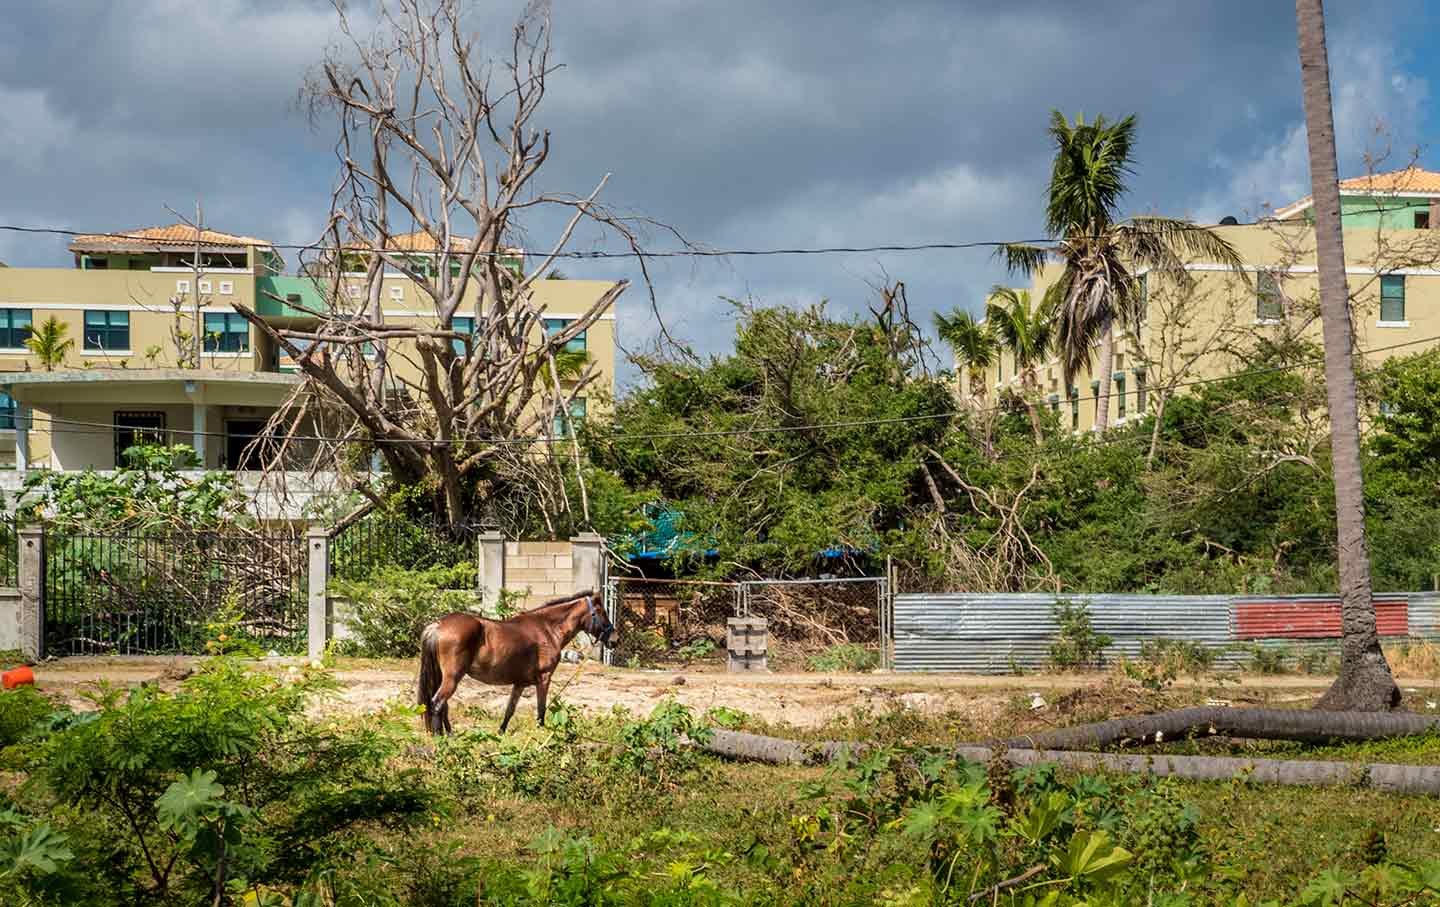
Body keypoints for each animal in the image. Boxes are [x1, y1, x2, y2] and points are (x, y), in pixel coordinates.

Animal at [420, 593, 616, 737]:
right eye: (602, 612)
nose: (615, 639)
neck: (547, 629)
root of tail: (438, 625)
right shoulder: (544, 679)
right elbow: (541, 708)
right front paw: (540, 733)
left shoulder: (520, 684)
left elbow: (510, 709)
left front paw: (501, 732)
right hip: (452, 677)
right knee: (437, 703)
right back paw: (439, 737)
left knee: (443, 705)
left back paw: (450, 734)